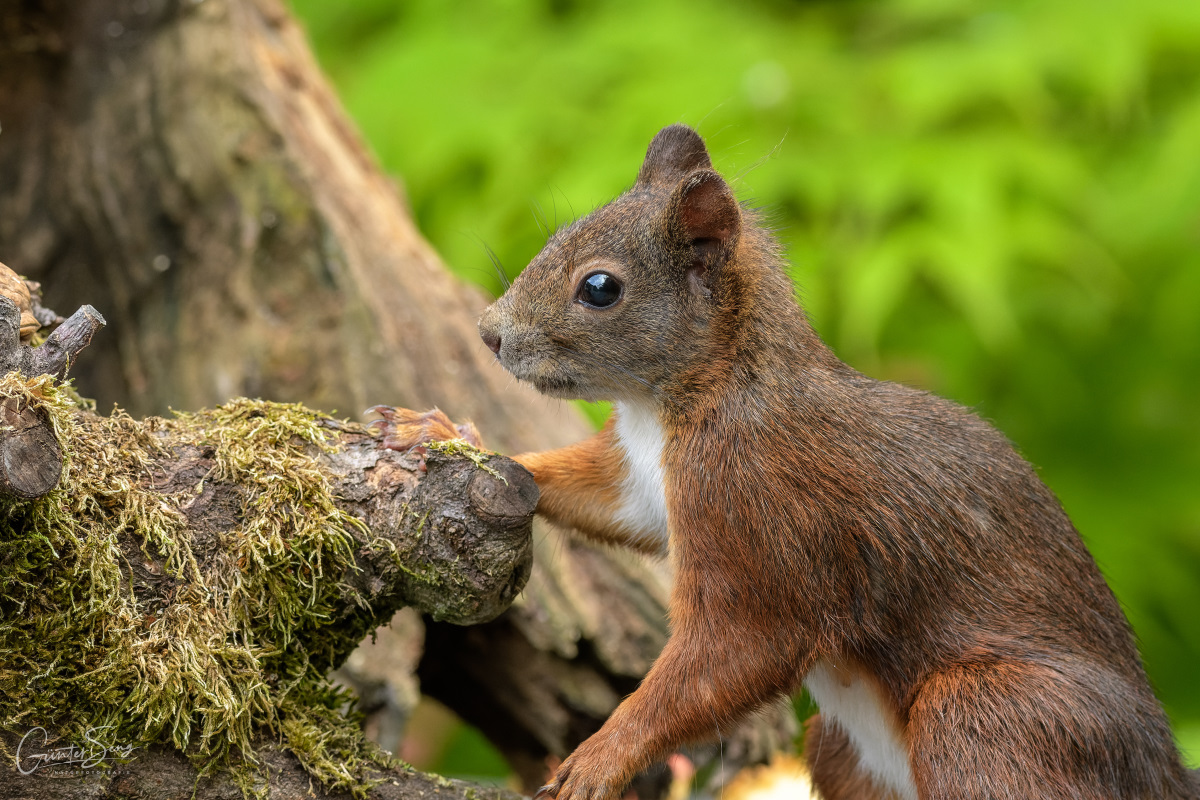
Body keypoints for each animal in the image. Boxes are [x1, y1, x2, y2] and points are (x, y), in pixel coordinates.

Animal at [376, 125, 1200, 800]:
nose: (489, 333)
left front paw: (600, 758)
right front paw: (444, 429)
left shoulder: (759, 507)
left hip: (993, 717)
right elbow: (593, 494)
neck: (684, 401)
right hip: (839, 751)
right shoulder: (643, 484)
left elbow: (740, 648)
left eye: (600, 287)